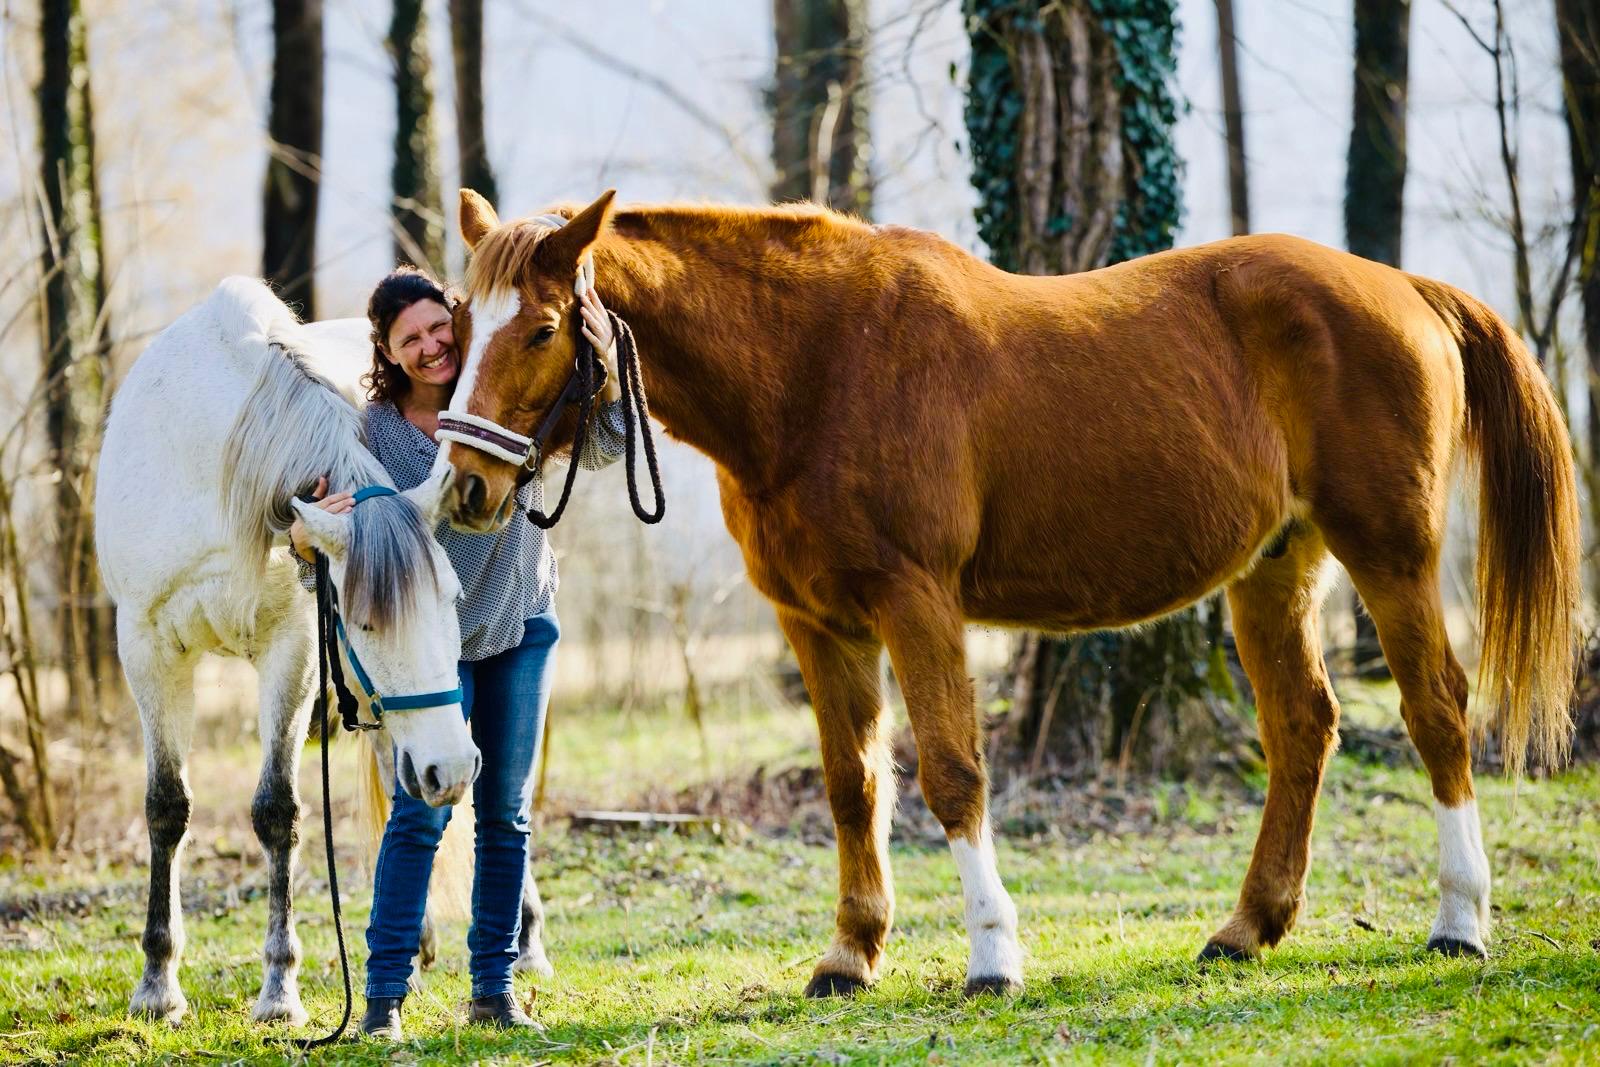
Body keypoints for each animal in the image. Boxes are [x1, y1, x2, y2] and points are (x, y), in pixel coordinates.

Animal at [96, 278, 486, 1024]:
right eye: (363, 621)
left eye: (451, 598)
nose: (452, 768)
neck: (207, 461)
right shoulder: (148, 650)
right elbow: (166, 806)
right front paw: (157, 982)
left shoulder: (294, 647)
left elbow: (276, 810)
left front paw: (279, 987)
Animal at [432, 189, 1580, 998]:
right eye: (454, 323)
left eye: (540, 329)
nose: (467, 486)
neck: (817, 364)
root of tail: (1407, 288)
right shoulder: (817, 623)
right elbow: (853, 784)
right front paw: (851, 955)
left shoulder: (917, 603)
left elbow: (950, 773)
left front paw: (992, 955)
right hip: (1274, 568)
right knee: (1303, 724)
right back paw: (1246, 928)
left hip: (1390, 553)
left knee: (1437, 711)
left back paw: (1460, 921)